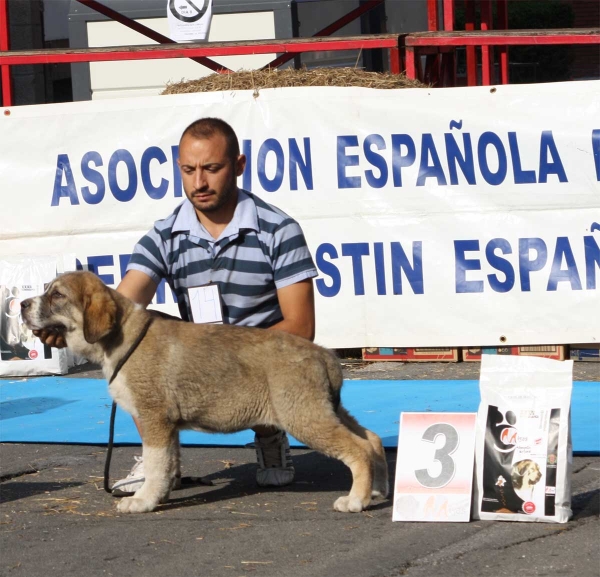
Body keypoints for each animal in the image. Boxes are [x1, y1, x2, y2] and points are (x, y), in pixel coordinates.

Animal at [19, 270, 390, 512]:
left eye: (57, 295)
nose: (21, 304)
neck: (120, 338)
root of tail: (323, 354)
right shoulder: (166, 427)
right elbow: (167, 463)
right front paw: (159, 495)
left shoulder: (154, 419)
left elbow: (156, 463)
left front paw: (143, 501)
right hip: (327, 409)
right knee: (372, 440)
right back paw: (378, 492)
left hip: (304, 416)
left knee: (358, 449)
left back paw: (356, 500)